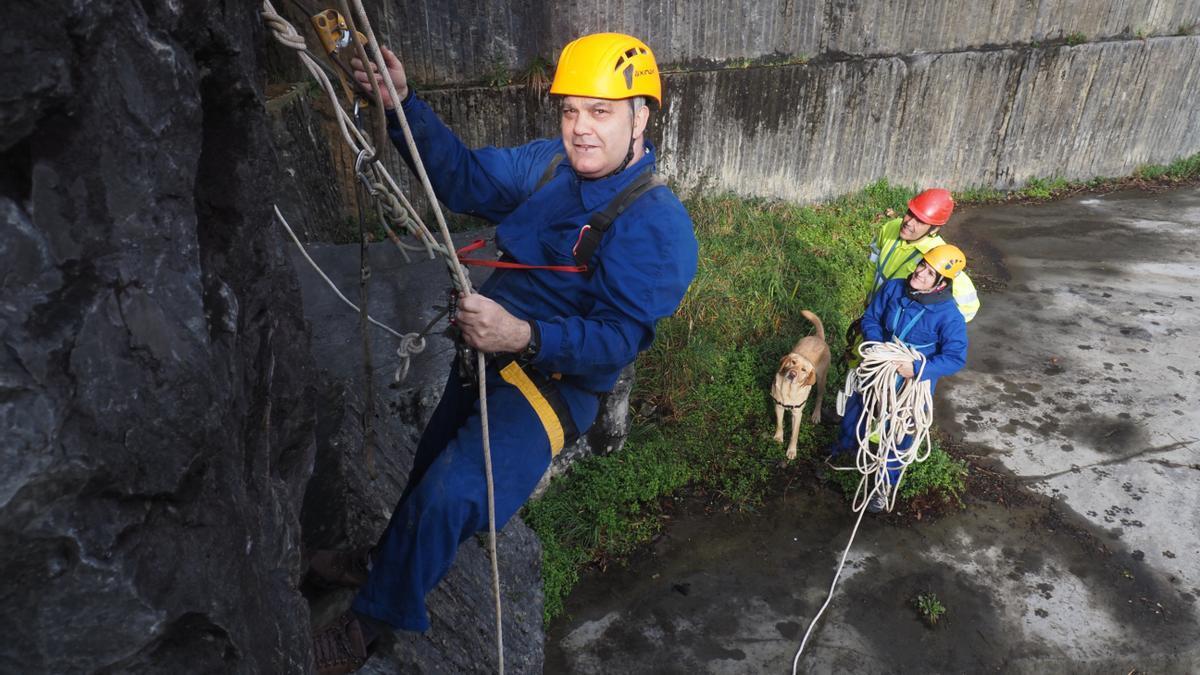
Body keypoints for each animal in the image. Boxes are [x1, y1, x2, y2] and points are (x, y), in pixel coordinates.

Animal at [772, 309, 830, 456]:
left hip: (821, 379)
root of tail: (818, 338)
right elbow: (779, 424)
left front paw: (792, 450)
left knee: (819, 397)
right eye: (793, 362)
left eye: (804, 370)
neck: (789, 390)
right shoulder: (778, 407)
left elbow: (794, 434)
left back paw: (816, 415)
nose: (792, 374)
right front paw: (778, 437)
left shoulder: (797, 415)